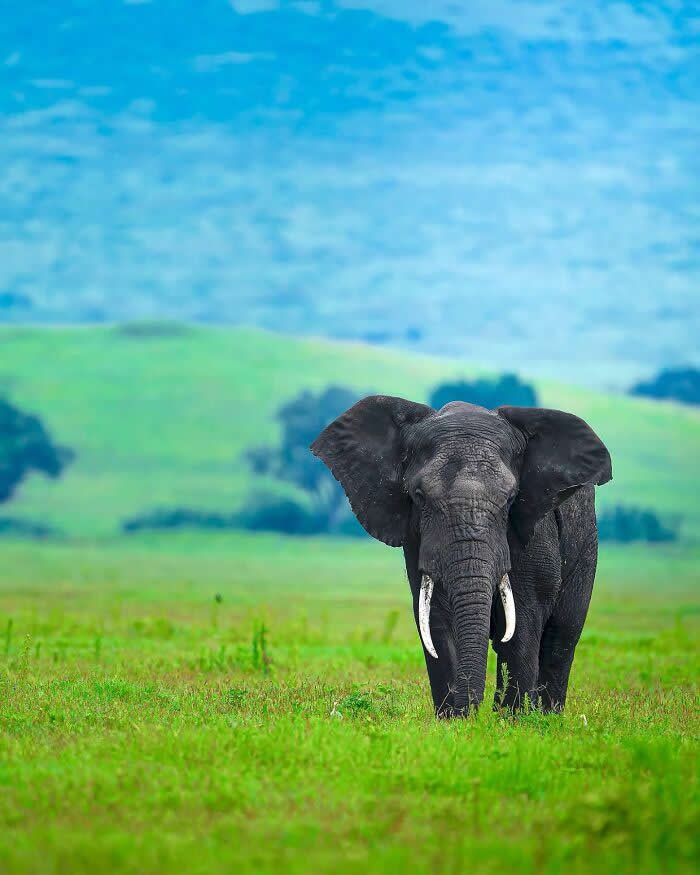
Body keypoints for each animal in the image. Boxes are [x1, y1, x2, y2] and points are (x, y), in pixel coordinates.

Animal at [311, 396, 612, 716]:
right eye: (418, 496)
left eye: (510, 498)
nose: (470, 714)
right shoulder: (419, 542)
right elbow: (438, 622)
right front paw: (455, 721)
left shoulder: (533, 534)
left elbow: (523, 623)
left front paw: (512, 721)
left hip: (586, 549)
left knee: (560, 638)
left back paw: (546, 717)